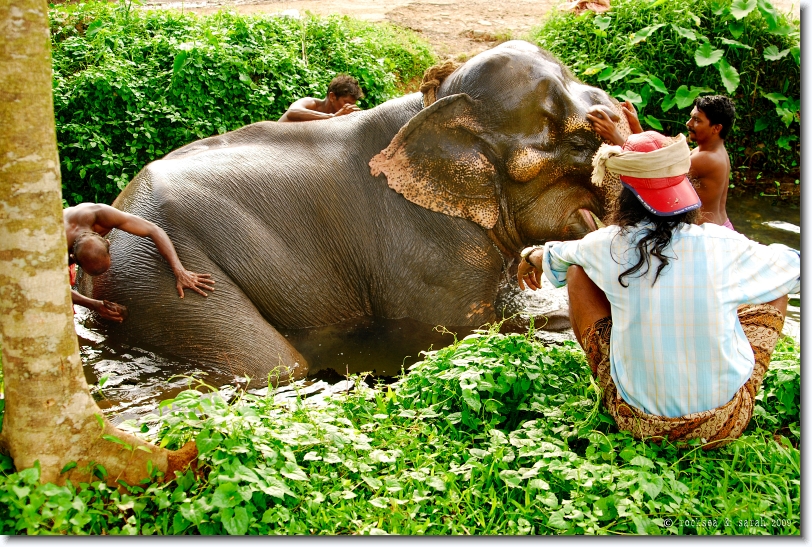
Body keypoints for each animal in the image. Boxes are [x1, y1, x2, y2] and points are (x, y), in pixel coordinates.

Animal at [81, 39, 628, 386]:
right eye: (579, 144)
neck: (437, 103)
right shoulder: (423, 248)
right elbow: (461, 333)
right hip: (162, 279)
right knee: (269, 365)